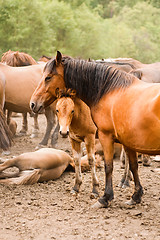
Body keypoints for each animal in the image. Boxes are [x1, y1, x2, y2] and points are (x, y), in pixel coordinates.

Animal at [30, 51, 160, 208]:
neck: (110, 92)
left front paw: (103, 196)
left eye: (48, 77)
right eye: (57, 110)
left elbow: (107, 165)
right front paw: (136, 195)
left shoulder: (102, 136)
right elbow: (133, 165)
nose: (33, 103)